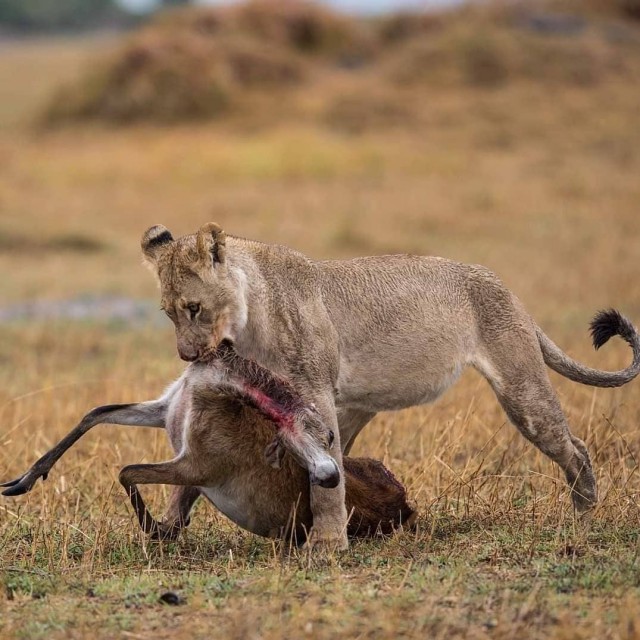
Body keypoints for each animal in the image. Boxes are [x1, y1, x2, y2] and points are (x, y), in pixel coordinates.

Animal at [136, 222, 640, 548]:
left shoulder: (314, 394)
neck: (247, 317)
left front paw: (327, 546)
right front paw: (167, 528)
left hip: (521, 389)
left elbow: (326, 480)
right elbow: (195, 470)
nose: (188, 356)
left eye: (195, 308)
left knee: (574, 447)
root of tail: (510, 293)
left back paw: (583, 517)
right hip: (360, 406)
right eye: (168, 313)